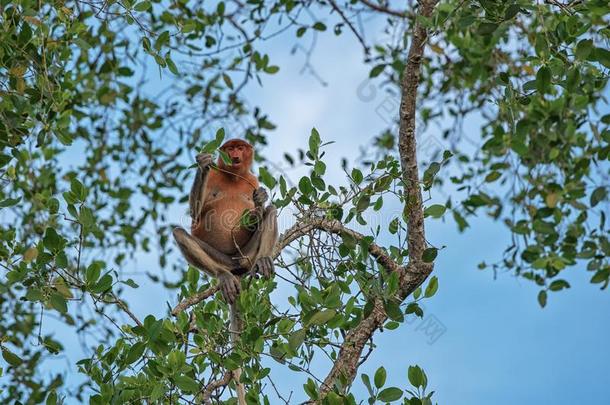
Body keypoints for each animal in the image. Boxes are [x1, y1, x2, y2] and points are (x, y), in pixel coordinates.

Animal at [170, 138, 276, 400]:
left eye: (240, 147)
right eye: (229, 148)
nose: (235, 154)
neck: (233, 176)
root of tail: (235, 263)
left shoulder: (252, 179)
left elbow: (259, 209)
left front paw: (261, 198)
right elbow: (195, 215)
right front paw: (203, 163)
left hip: (246, 254)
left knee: (272, 211)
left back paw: (262, 262)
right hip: (221, 258)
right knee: (180, 233)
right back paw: (224, 277)